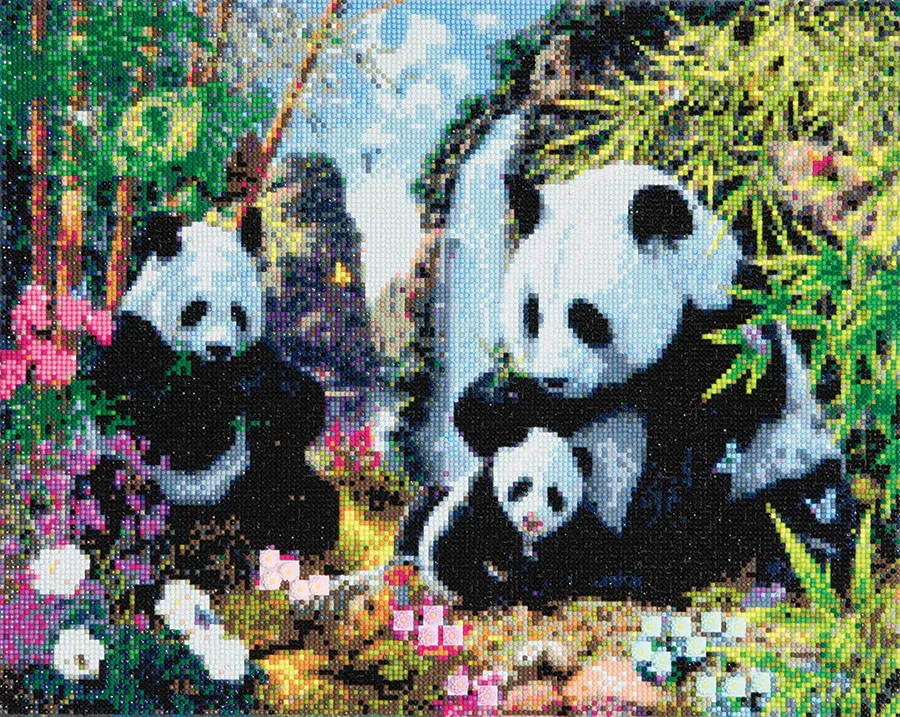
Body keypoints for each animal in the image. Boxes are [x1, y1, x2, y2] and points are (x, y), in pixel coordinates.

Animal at [89, 209, 339, 562]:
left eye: (238, 311)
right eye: (197, 308)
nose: (219, 349)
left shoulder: (257, 352)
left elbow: (304, 403)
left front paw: (266, 395)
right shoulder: (137, 343)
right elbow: (172, 428)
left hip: (255, 474)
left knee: (298, 493)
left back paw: (301, 527)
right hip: (133, 477)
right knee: (106, 500)